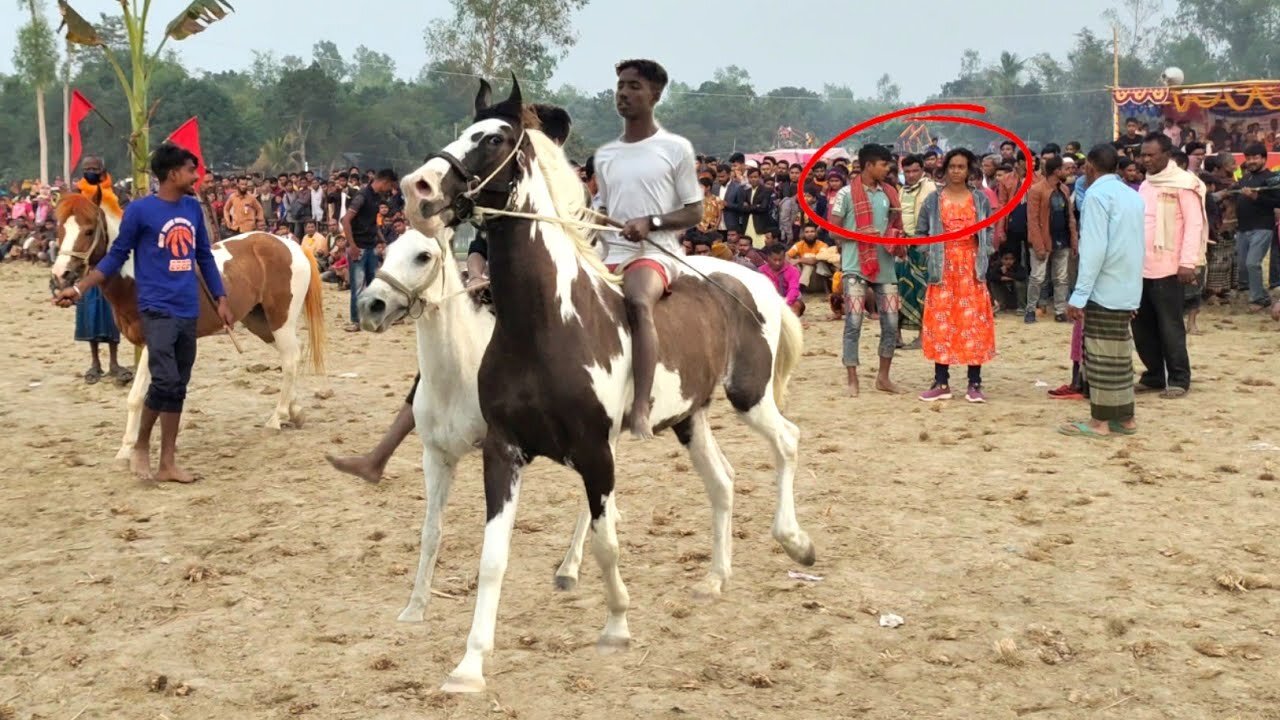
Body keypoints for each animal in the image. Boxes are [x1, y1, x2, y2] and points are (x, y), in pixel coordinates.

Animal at [404, 79, 814, 691]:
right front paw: (470, 665)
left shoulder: (597, 452)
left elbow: (606, 542)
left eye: (494, 137)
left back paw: (795, 541)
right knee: (722, 482)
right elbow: (492, 557)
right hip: (690, 417)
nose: (418, 188)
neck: (545, 325)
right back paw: (715, 578)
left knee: (786, 441)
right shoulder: (504, 450)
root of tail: (753, 280)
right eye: (462, 130)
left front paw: (617, 623)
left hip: (750, 396)